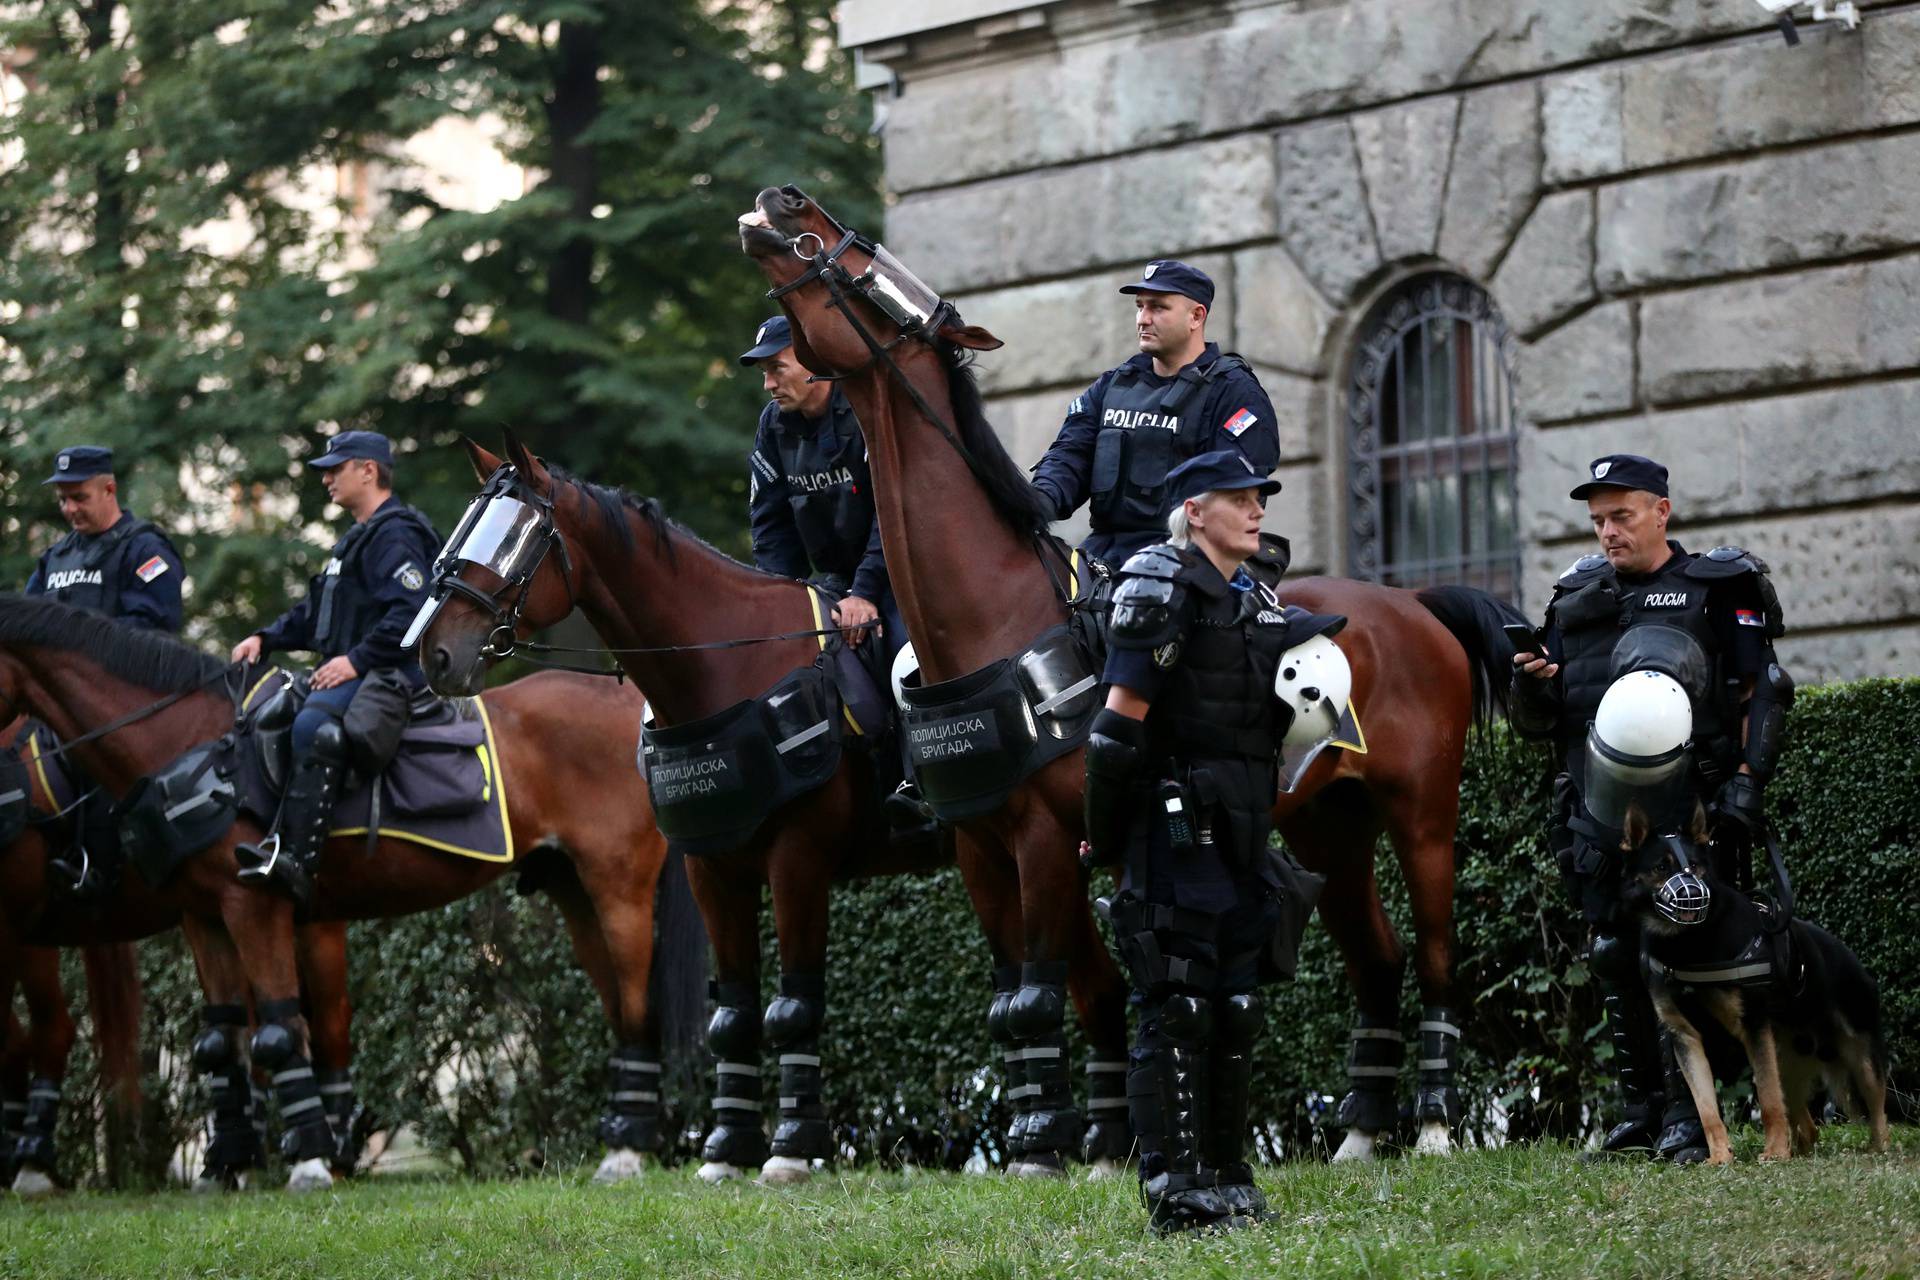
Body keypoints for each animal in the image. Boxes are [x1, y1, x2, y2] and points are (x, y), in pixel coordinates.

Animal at [0, 598, 702, 1189]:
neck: (191, 745)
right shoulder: (203, 916)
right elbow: (221, 1042)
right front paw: (228, 1163)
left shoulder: (253, 906)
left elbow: (278, 1031)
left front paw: (308, 1160)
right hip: (573, 890)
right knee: (618, 1003)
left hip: (618, 888)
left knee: (639, 1004)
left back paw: (627, 1149)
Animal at [422, 437, 960, 1182]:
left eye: (516, 538)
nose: (434, 654)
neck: (727, 667)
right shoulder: (714, 870)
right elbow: (732, 1016)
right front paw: (729, 1148)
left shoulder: (799, 863)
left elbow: (792, 1006)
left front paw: (793, 1148)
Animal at [741, 188, 1520, 1159]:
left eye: (865, 270)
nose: (783, 201)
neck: (991, 620)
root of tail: (1416, 606)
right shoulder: (981, 850)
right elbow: (1038, 1000)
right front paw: (1094, 1140)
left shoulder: (1047, 844)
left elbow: (1039, 998)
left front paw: (1047, 1146)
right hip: (1327, 828)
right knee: (1378, 958)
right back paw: (1361, 1134)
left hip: (1425, 818)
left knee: (1440, 955)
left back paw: (1438, 1125)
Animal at [1620, 805, 1889, 1166]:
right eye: (1662, 867)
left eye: (1697, 866)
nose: (1693, 893)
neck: (1687, 943)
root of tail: (1851, 957)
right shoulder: (1685, 1038)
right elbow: (1706, 1107)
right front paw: (1720, 1156)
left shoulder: (1753, 1027)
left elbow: (1767, 1094)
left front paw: (1774, 1151)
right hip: (1787, 1057)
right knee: (1808, 1124)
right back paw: (1800, 1150)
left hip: (1859, 1053)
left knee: (1876, 1105)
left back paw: (1876, 1148)